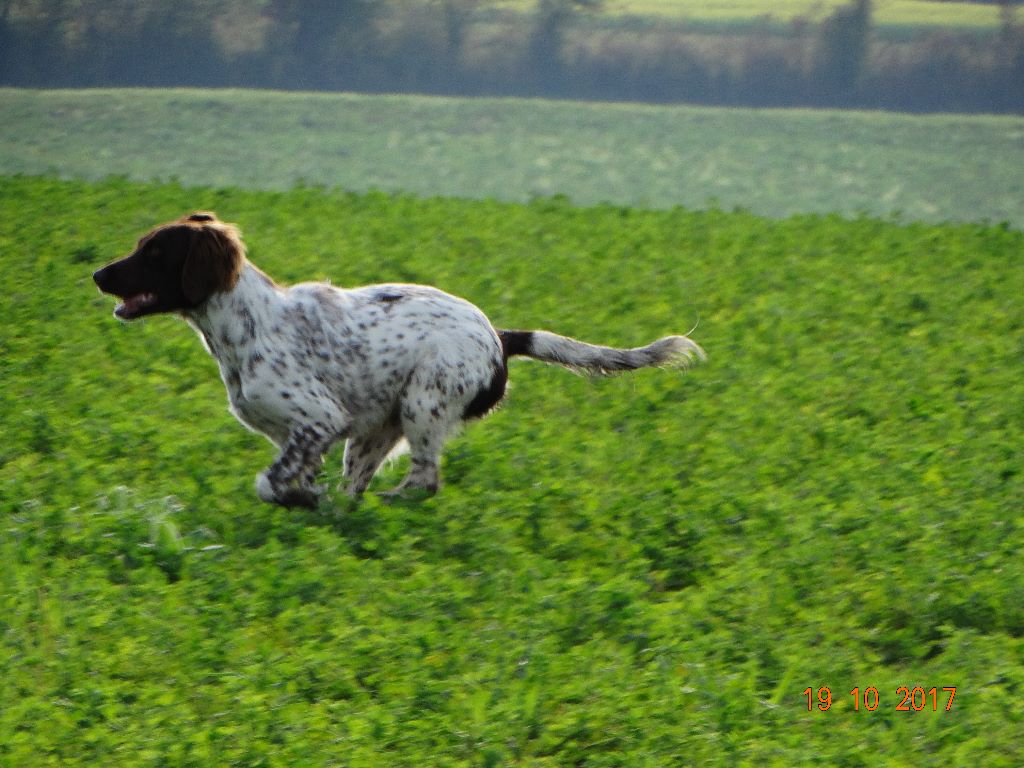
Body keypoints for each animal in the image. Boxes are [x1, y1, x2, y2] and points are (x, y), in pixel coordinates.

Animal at [94, 214, 704, 507]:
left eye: (155, 251)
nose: (98, 274)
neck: (244, 324)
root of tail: (498, 334)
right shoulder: (310, 436)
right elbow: (292, 478)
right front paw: (308, 501)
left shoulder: (317, 420)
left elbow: (269, 483)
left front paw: (298, 501)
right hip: (376, 430)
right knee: (364, 487)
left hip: (423, 403)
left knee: (424, 481)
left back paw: (388, 503)